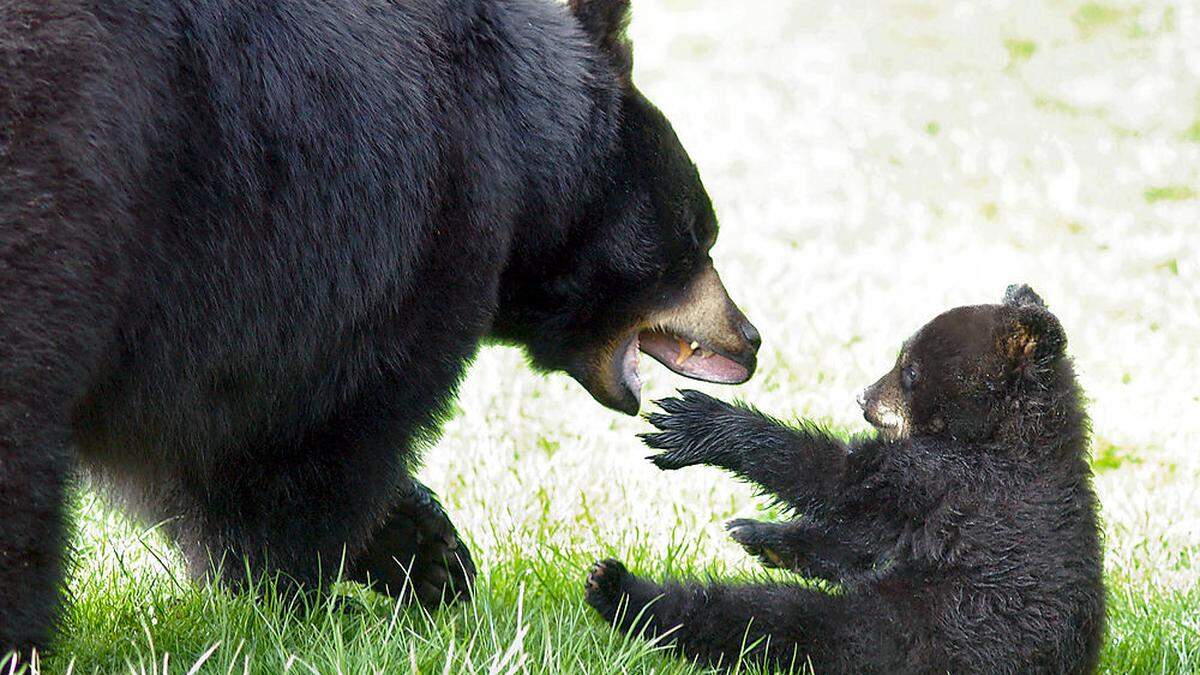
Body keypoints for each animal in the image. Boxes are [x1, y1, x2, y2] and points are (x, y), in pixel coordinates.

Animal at [0, 0, 758, 658]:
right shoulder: (411, 225)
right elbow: (302, 427)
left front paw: (427, 549)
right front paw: (313, 599)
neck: (520, 144)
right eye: (699, 235)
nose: (750, 339)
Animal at [585, 284, 1099, 672]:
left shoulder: (962, 482)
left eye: (910, 371)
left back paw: (620, 590)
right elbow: (863, 536)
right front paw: (759, 533)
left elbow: (842, 480)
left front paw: (701, 424)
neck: (1004, 436)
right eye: (903, 359)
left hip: (917, 627)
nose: (863, 397)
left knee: (770, 620)